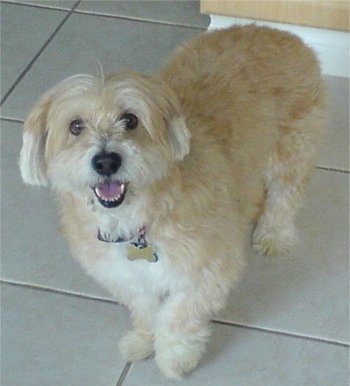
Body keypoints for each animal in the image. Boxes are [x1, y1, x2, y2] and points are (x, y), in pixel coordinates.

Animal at [19, 25, 326, 378]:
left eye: (130, 120)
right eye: (76, 126)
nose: (106, 160)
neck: (136, 219)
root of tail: (281, 33)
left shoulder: (206, 270)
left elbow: (179, 316)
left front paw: (174, 357)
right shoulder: (125, 276)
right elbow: (145, 309)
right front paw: (142, 340)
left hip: (292, 150)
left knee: (284, 196)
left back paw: (273, 234)